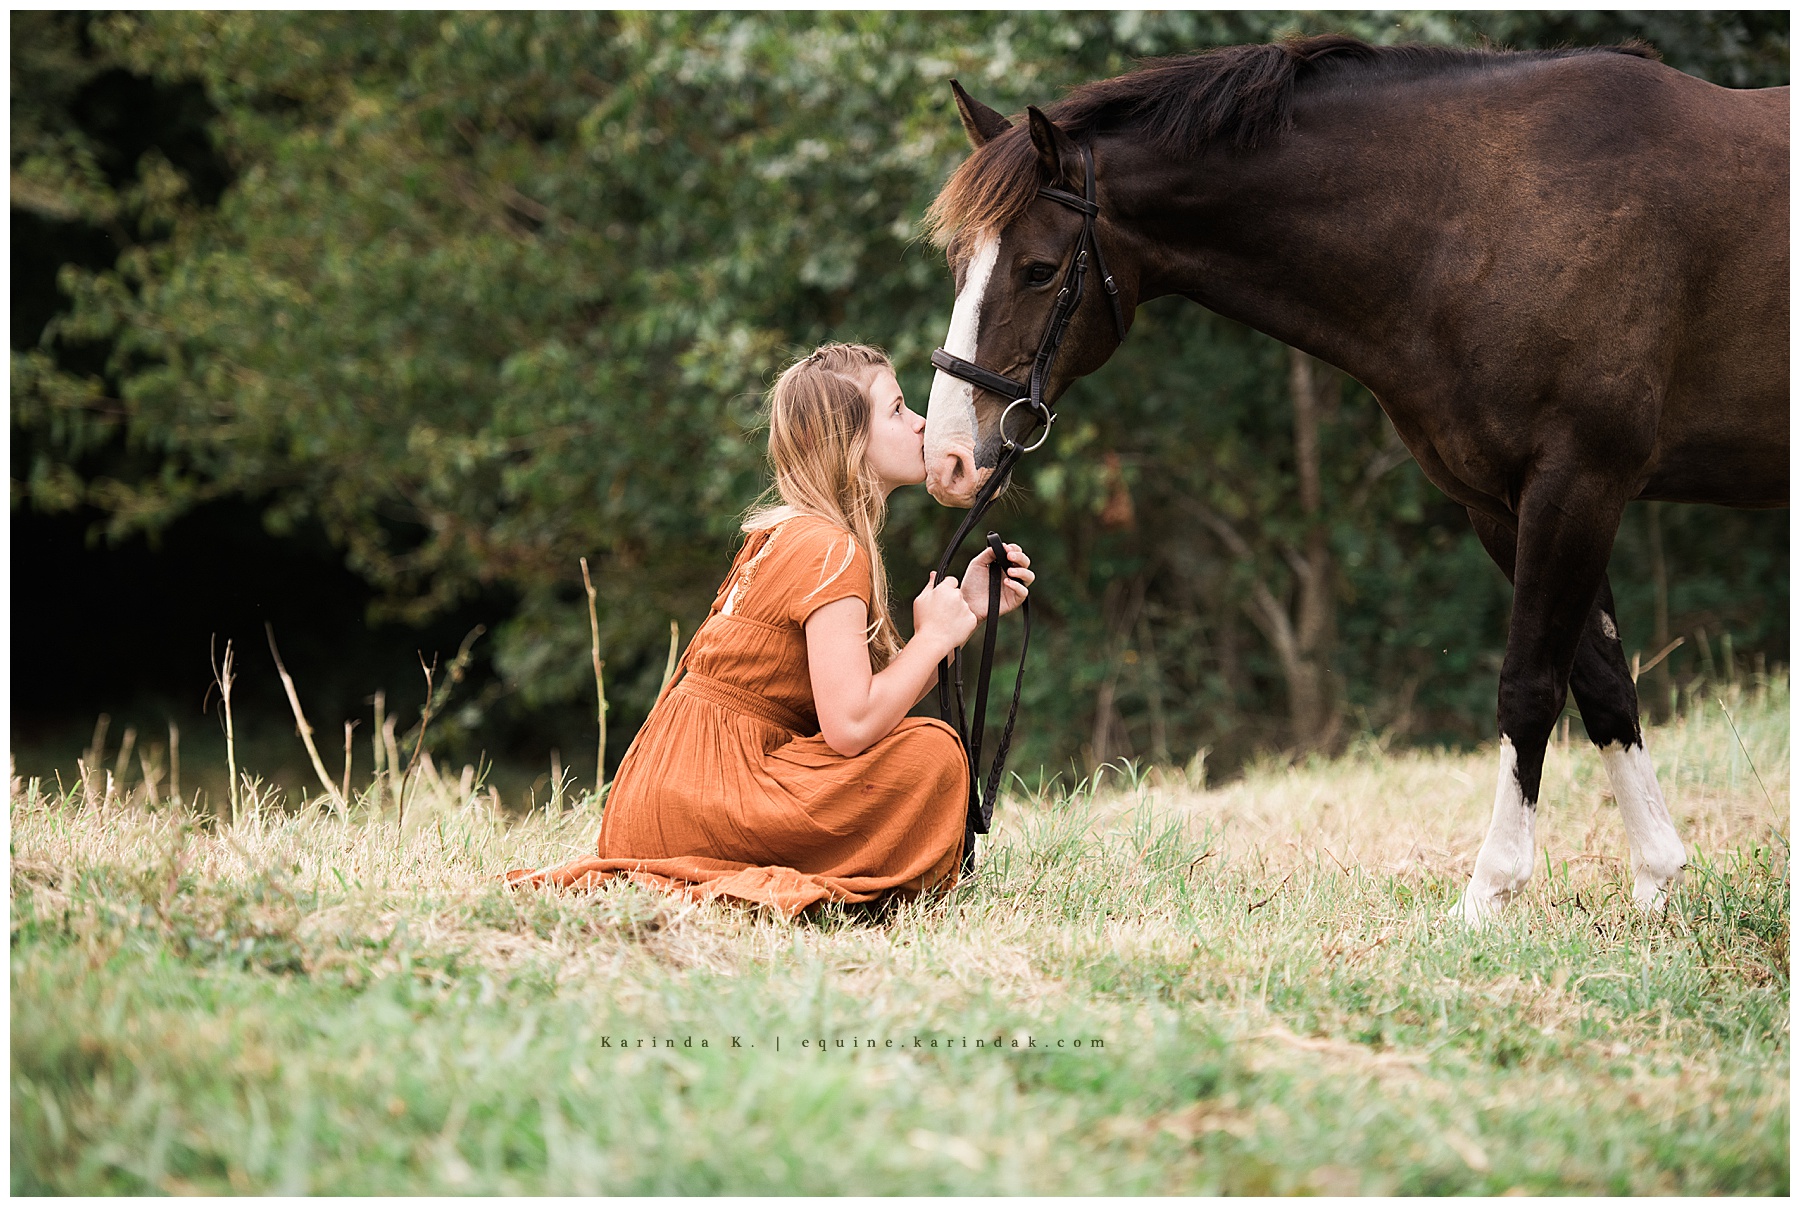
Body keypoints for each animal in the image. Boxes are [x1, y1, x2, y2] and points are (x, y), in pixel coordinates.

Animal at [919, 34, 1788, 925]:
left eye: (1038, 269)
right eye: (957, 261)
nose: (948, 457)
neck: (1492, 215)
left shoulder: (1579, 482)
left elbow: (1530, 684)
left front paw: (1489, 892)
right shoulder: (1504, 506)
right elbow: (1604, 682)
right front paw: (1657, 880)